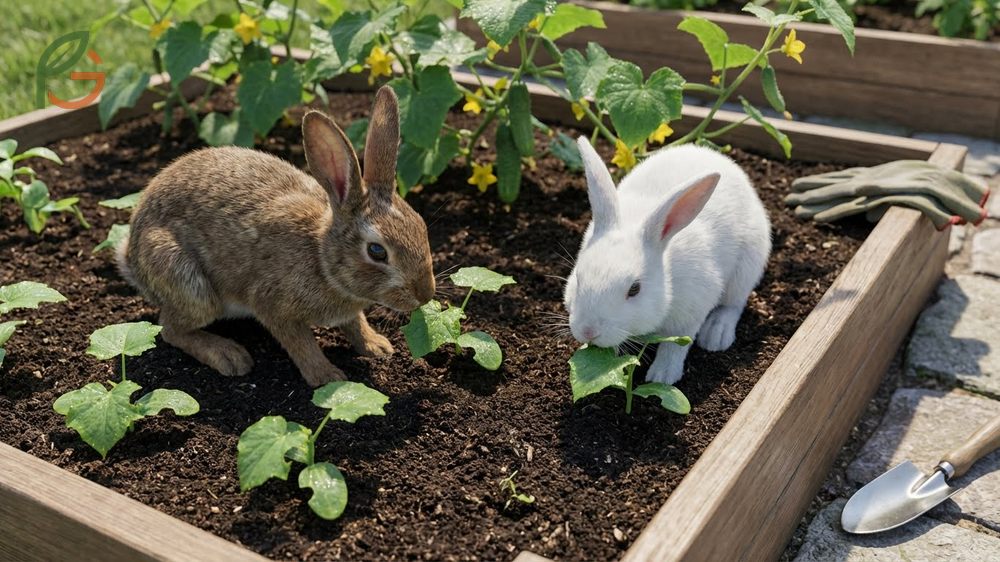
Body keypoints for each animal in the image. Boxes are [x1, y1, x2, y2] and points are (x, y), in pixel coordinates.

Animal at [117, 86, 435, 387]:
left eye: (422, 227)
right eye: (377, 251)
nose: (425, 294)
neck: (321, 258)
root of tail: (132, 257)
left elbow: (355, 322)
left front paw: (377, 346)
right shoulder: (272, 305)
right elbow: (301, 344)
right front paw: (327, 376)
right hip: (191, 285)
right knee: (171, 328)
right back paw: (229, 355)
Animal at [563, 138, 771, 385]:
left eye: (635, 289)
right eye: (578, 278)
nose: (588, 331)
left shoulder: (690, 314)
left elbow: (674, 347)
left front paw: (661, 378)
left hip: (746, 269)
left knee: (734, 305)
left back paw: (716, 334)